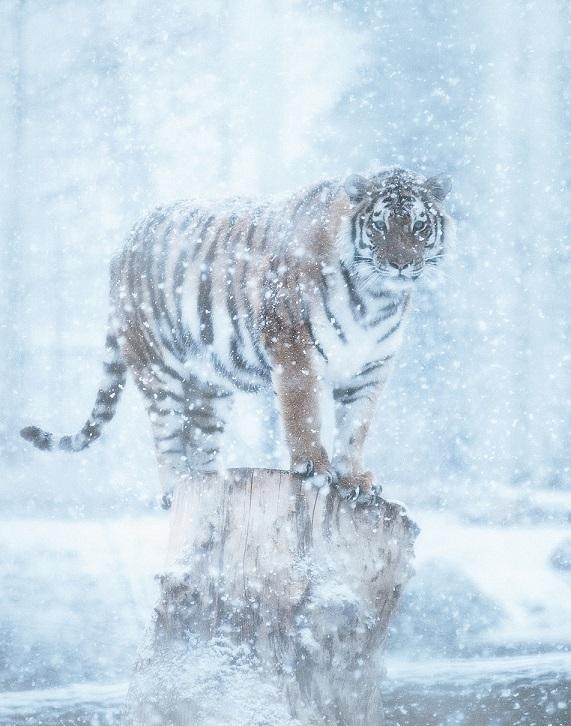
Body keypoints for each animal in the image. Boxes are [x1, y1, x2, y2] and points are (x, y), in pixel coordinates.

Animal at [21, 167, 452, 508]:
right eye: (379, 225)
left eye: (419, 225)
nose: (400, 264)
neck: (377, 298)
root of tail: (123, 242)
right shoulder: (293, 346)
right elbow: (304, 413)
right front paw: (314, 467)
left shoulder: (371, 367)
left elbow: (355, 428)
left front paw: (355, 479)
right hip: (157, 369)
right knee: (166, 435)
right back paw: (175, 488)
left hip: (210, 388)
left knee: (200, 441)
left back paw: (212, 481)